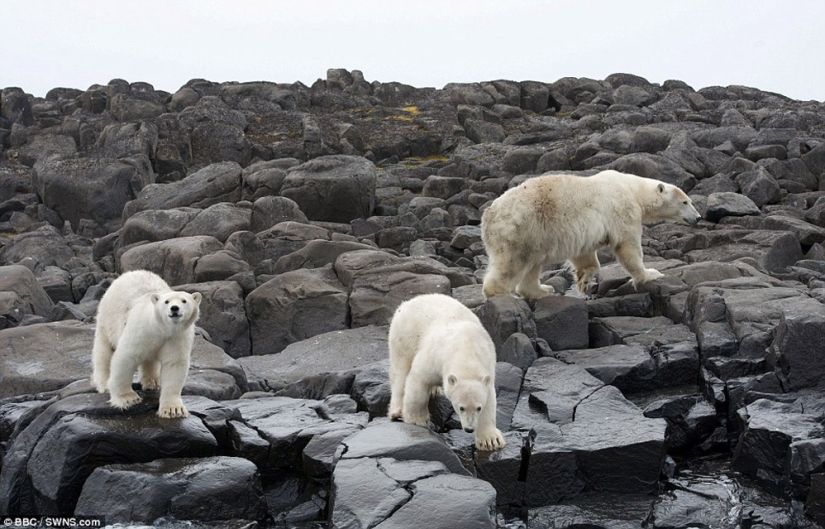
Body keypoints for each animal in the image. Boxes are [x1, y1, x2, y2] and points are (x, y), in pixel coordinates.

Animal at [92, 269, 202, 418]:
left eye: (184, 300)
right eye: (166, 301)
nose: (174, 308)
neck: (161, 328)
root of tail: (129, 273)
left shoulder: (176, 338)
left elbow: (174, 364)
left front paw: (173, 410)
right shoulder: (141, 330)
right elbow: (125, 357)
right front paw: (127, 399)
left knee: (149, 359)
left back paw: (152, 382)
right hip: (107, 319)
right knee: (104, 351)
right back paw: (104, 384)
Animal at [388, 293, 506, 451]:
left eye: (478, 408)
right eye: (461, 408)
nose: (469, 429)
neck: (467, 349)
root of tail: (407, 302)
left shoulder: (488, 366)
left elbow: (489, 402)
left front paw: (491, 441)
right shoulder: (436, 357)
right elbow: (418, 380)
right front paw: (417, 420)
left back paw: (434, 390)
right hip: (404, 336)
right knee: (400, 371)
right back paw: (397, 411)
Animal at [481, 170, 701, 300]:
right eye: (685, 202)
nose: (698, 217)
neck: (631, 188)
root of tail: (487, 217)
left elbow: (584, 255)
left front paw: (584, 280)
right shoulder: (622, 209)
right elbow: (627, 246)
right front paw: (650, 274)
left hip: (535, 235)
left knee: (532, 266)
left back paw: (543, 290)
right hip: (520, 229)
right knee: (513, 264)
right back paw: (503, 294)